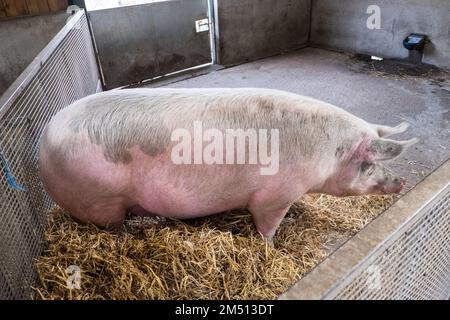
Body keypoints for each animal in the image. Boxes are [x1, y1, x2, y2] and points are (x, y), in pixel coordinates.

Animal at [39, 87, 418, 242]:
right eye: (368, 165)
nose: (402, 183)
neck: (327, 153)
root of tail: (43, 141)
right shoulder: (274, 194)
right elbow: (267, 224)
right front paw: (270, 244)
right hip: (102, 200)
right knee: (111, 226)